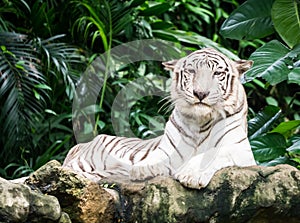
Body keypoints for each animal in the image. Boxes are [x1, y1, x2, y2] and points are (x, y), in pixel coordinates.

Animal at [63, 48, 255, 189]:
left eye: (217, 73)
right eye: (191, 71)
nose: (200, 93)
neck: (200, 122)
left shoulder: (241, 150)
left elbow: (213, 153)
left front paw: (190, 175)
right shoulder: (167, 150)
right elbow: (155, 156)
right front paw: (142, 169)